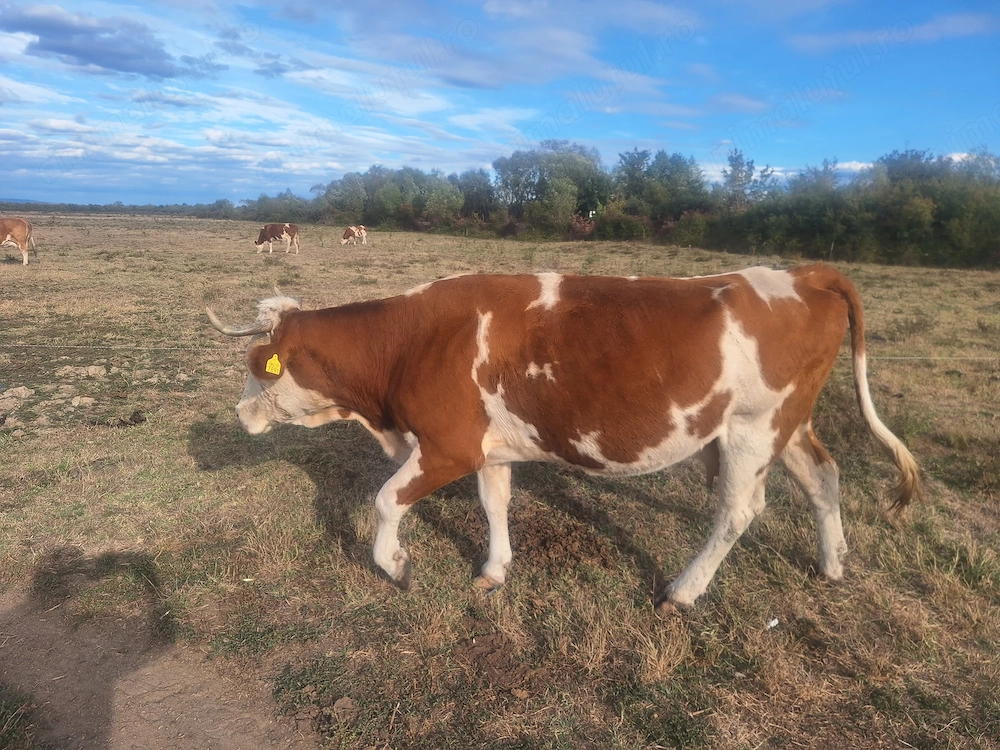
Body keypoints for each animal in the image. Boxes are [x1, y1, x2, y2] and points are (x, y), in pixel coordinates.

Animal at [206, 264, 921, 612]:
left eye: (257, 366)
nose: (238, 416)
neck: (410, 342)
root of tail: (803, 273)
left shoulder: (446, 445)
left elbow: (385, 501)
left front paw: (396, 565)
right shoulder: (487, 448)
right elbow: (495, 503)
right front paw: (494, 571)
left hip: (751, 427)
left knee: (739, 512)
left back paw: (683, 591)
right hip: (788, 424)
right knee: (824, 477)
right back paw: (832, 564)